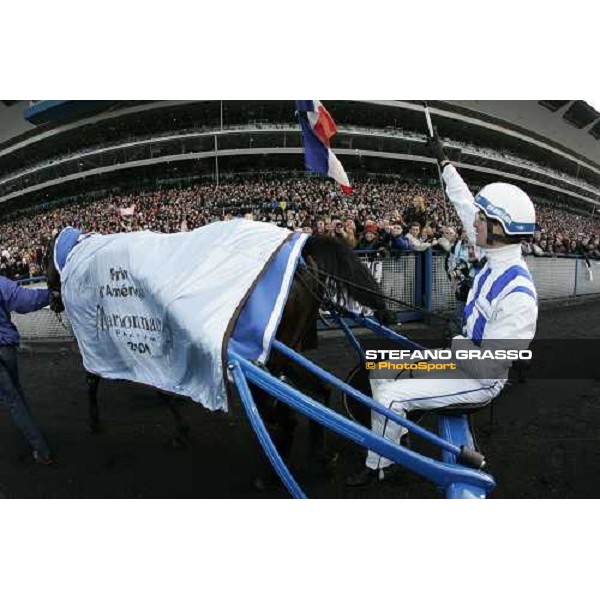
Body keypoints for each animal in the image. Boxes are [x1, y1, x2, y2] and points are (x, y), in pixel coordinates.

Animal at [44, 226, 392, 488]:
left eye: (45, 260)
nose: (53, 300)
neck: (85, 258)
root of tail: (302, 258)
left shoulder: (119, 342)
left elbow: (101, 380)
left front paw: (100, 420)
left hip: (264, 358)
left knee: (283, 417)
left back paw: (270, 474)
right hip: (287, 352)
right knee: (317, 393)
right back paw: (321, 453)